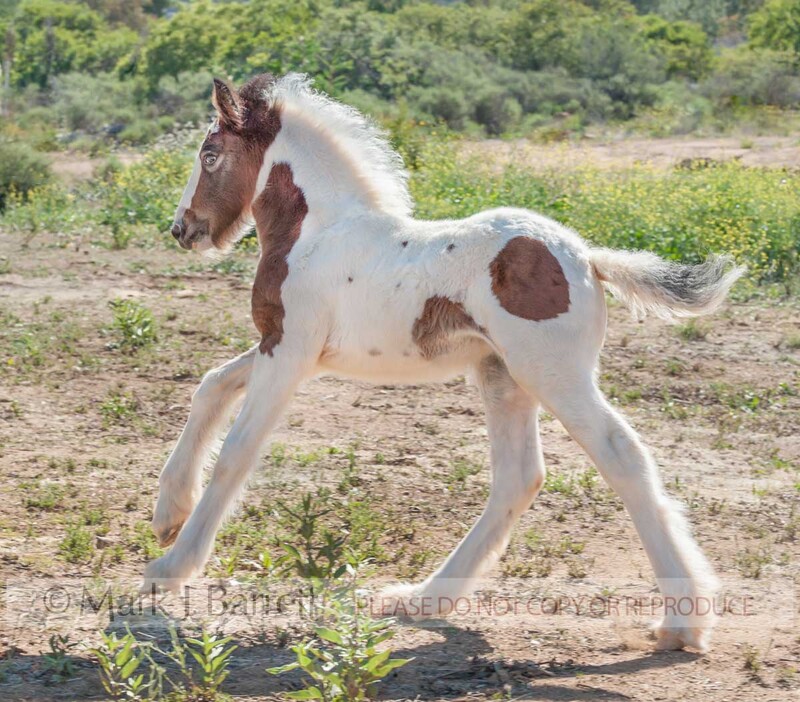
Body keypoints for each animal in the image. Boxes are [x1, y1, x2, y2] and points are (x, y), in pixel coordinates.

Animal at [145, 73, 743, 652]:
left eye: (209, 155)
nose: (182, 228)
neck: (315, 232)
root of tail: (589, 257)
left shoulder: (288, 350)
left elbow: (237, 451)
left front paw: (171, 566)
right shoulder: (290, 348)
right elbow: (211, 384)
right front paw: (167, 515)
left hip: (551, 372)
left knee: (620, 455)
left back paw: (683, 621)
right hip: (502, 375)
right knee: (519, 476)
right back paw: (422, 599)